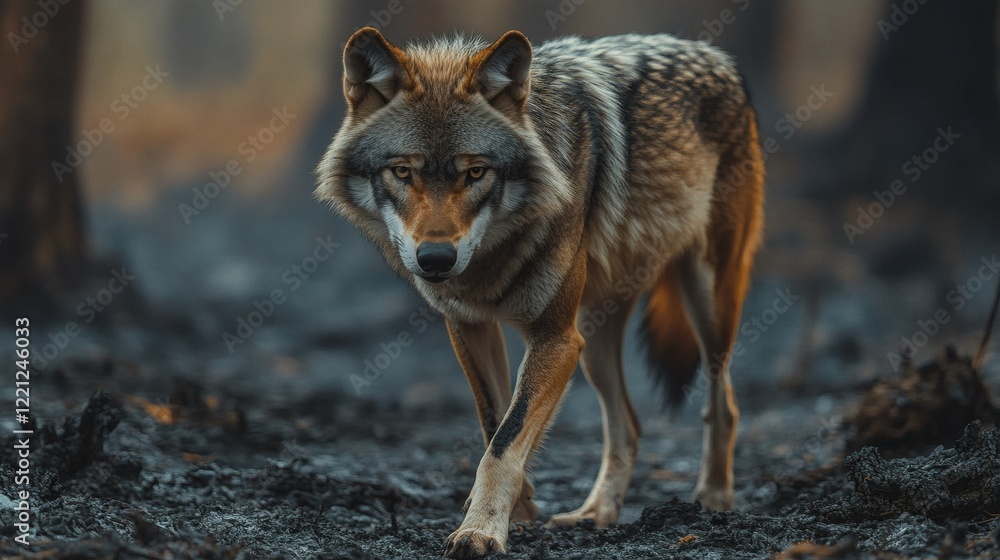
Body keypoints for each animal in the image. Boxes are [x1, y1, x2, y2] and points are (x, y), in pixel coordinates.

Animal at [316, 27, 764, 558]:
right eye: (403, 172)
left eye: (476, 172)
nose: (436, 260)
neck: (493, 257)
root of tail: (717, 56)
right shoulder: (470, 328)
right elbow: (494, 422)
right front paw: (520, 510)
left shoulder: (554, 338)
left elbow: (505, 441)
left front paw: (481, 530)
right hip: (593, 342)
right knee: (628, 425)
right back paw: (596, 513)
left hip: (705, 308)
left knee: (724, 405)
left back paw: (712, 498)